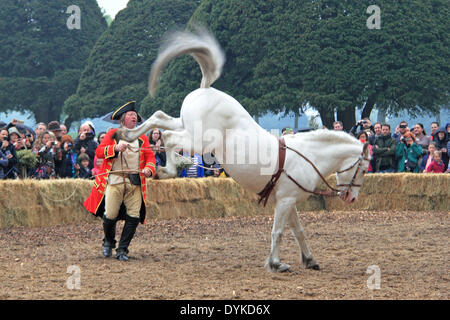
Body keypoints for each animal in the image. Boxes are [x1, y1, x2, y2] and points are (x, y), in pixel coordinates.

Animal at [118, 28, 370, 272]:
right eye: (364, 169)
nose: (352, 198)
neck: (308, 157)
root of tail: (206, 89)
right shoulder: (286, 200)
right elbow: (278, 232)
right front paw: (276, 264)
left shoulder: (288, 201)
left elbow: (298, 231)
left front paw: (309, 260)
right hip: (199, 140)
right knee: (169, 138)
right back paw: (166, 170)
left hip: (184, 124)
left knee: (158, 118)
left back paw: (127, 135)